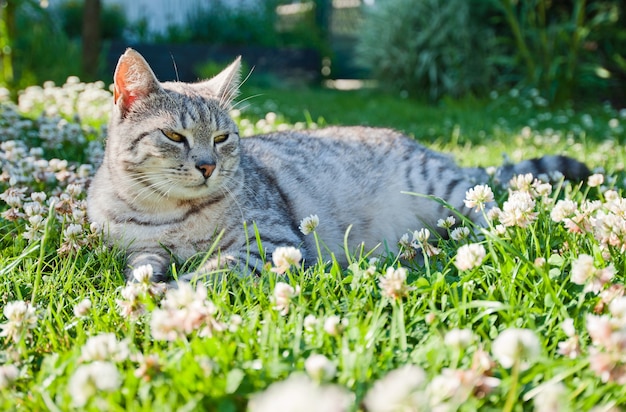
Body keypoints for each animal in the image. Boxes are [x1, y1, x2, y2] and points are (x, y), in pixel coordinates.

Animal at [85, 48, 588, 284]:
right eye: (174, 136)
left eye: (222, 138)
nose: (208, 166)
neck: (163, 213)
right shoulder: (136, 248)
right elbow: (143, 265)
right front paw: (142, 285)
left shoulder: (269, 242)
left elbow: (209, 275)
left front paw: (169, 297)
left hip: (448, 191)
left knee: (502, 214)